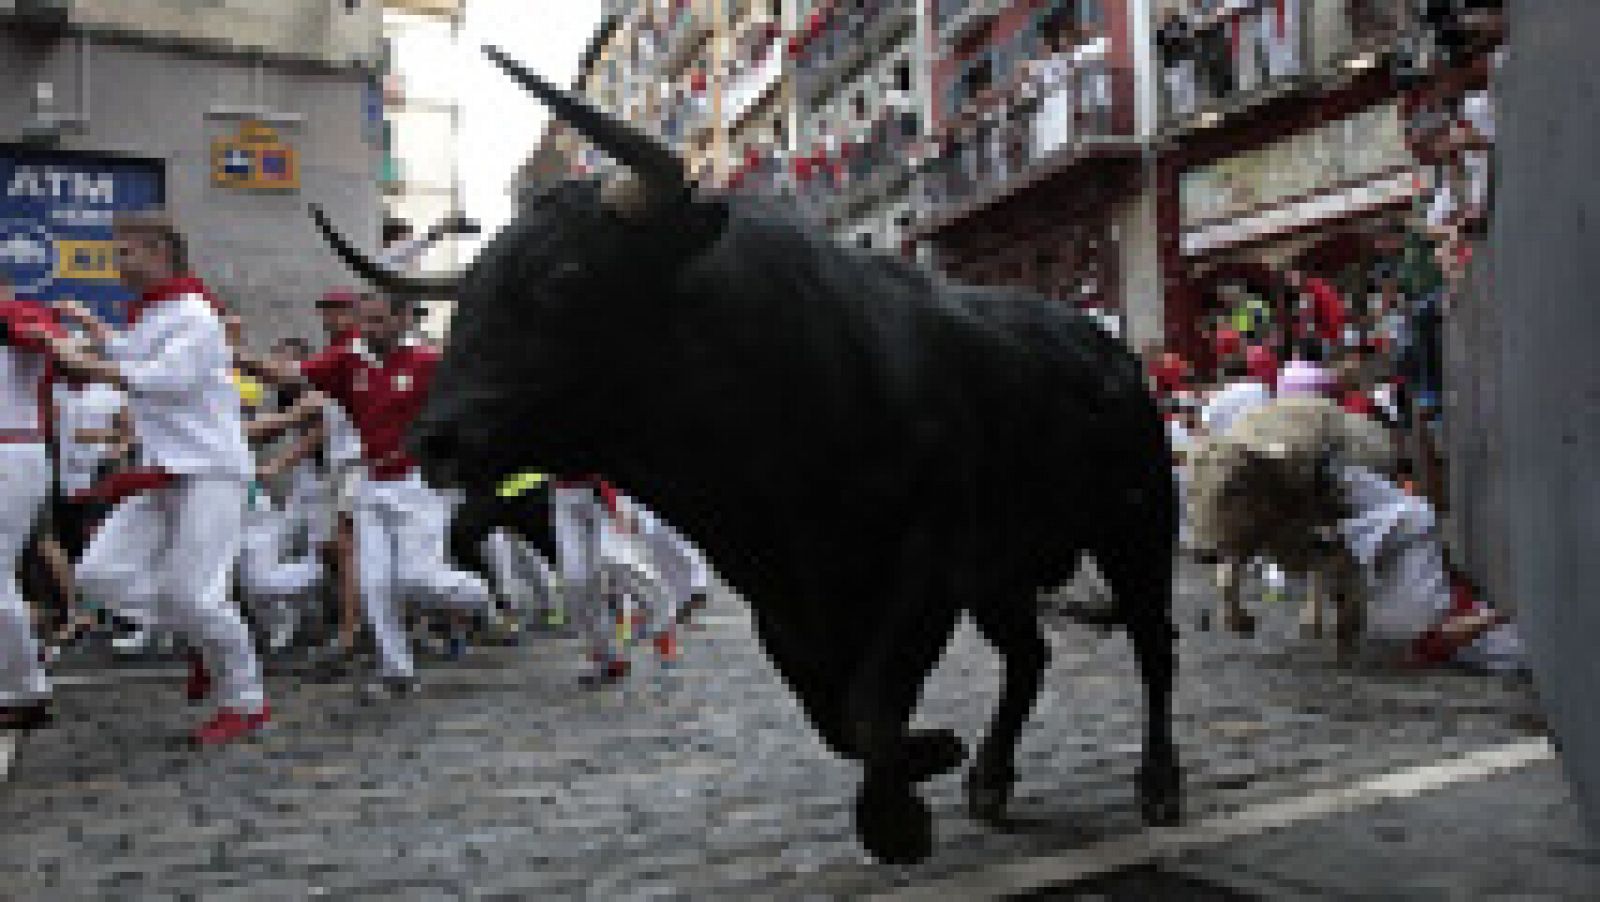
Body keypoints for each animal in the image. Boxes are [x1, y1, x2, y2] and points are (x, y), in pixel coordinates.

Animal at [318, 47, 1184, 863]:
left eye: (562, 276)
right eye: (465, 302)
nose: (435, 439)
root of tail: (1108, 350)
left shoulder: (925, 561)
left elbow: (871, 698)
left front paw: (900, 818)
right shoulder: (778, 593)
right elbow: (831, 714)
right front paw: (931, 756)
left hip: (1136, 525)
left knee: (1152, 643)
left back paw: (1158, 784)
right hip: (1004, 570)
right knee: (1029, 656)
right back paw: (992, 780)